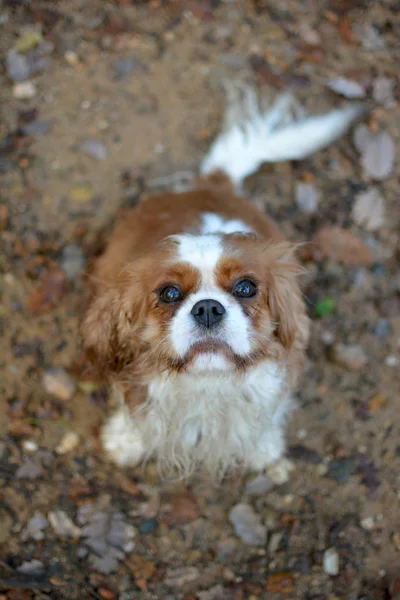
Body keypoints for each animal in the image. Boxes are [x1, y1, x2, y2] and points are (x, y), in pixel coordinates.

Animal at [81, 83, 362, 478]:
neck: (208, 384)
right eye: (169, 293)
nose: (208, 308)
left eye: (246, 288)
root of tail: (215, 185)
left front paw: (263, 448)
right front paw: (125, 442)